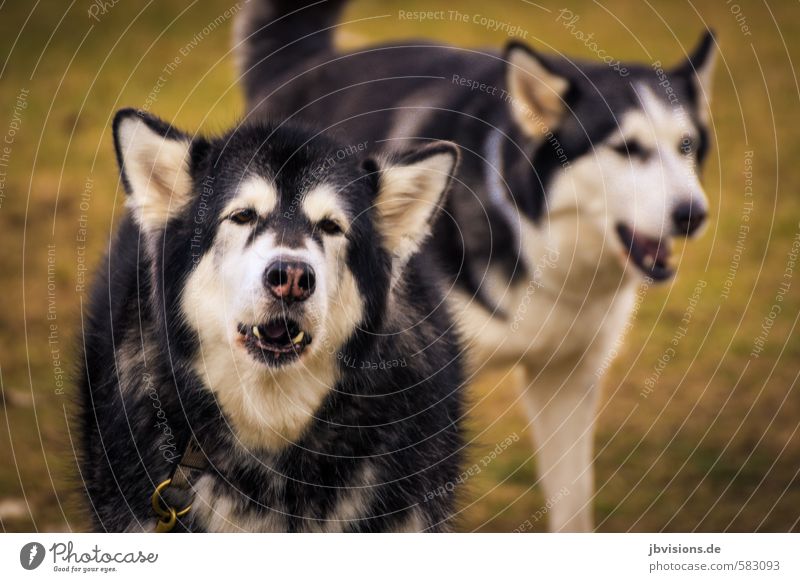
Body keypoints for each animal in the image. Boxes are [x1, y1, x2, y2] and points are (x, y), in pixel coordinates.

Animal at [236, 0, 720, 532]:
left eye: (687, 145)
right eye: (627, 148)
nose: (693, 214)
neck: (532, 242)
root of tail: (303, 60)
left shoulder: (569, 379)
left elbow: (573, 510)